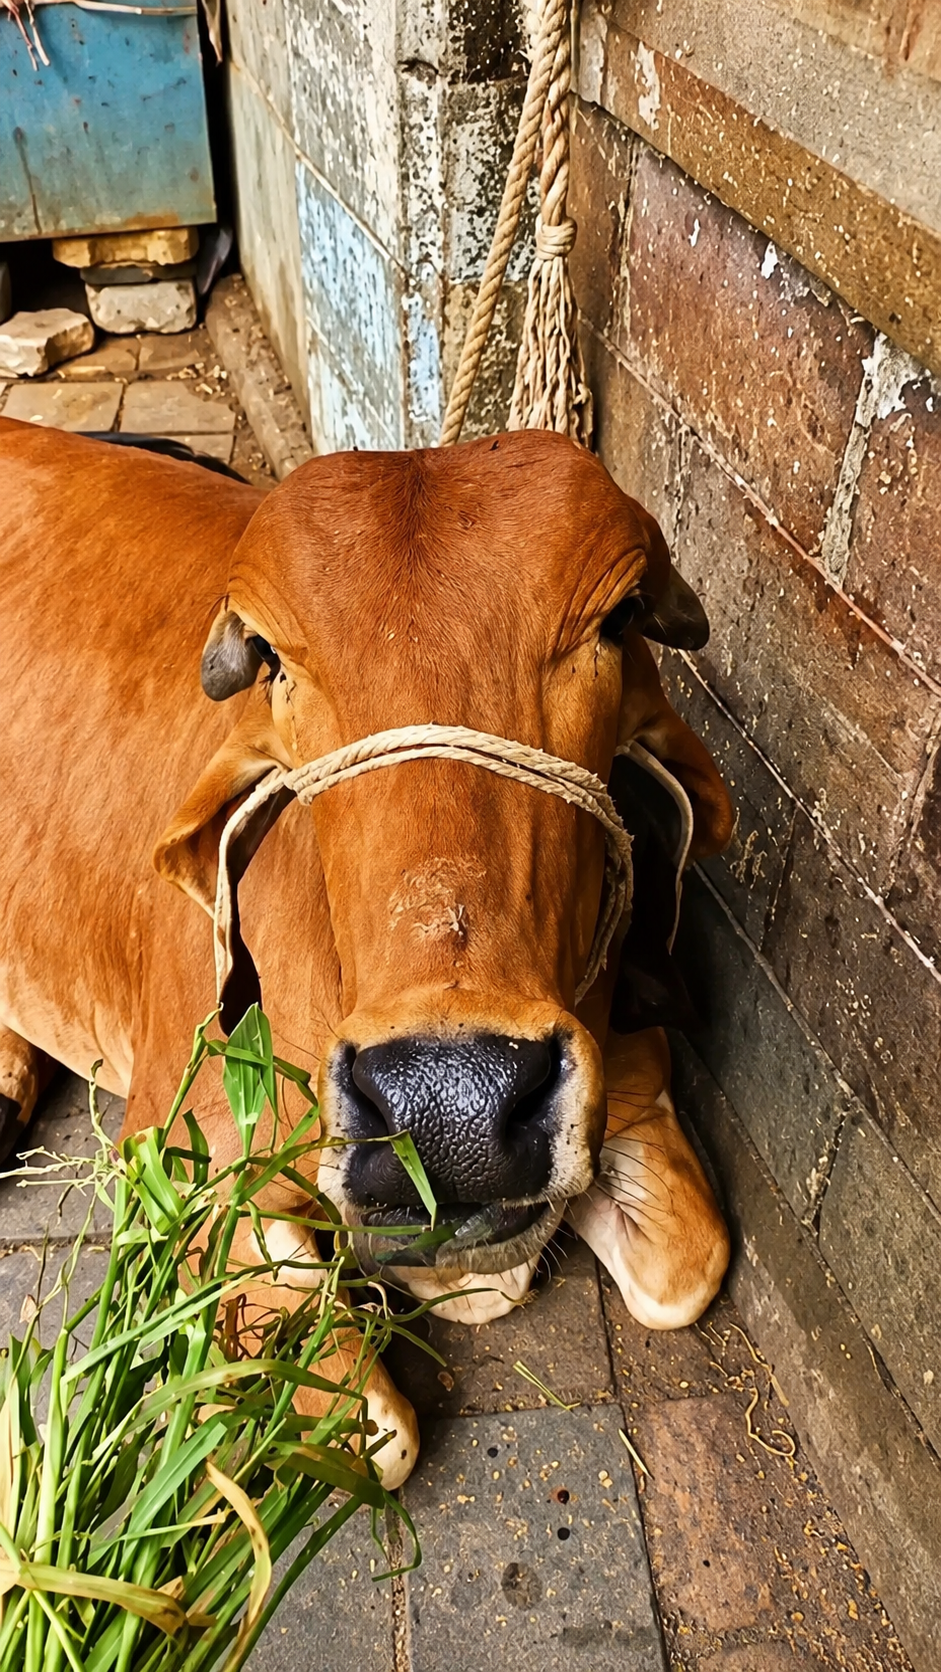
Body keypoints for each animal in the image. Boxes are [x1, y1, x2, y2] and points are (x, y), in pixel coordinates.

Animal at [0, 418, 733, 1486]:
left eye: (616, 618)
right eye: (272, 658)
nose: (450, 1107)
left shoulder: (627, 1070)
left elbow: (689, 1266)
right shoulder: (174, 1156)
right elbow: (374, 1434)